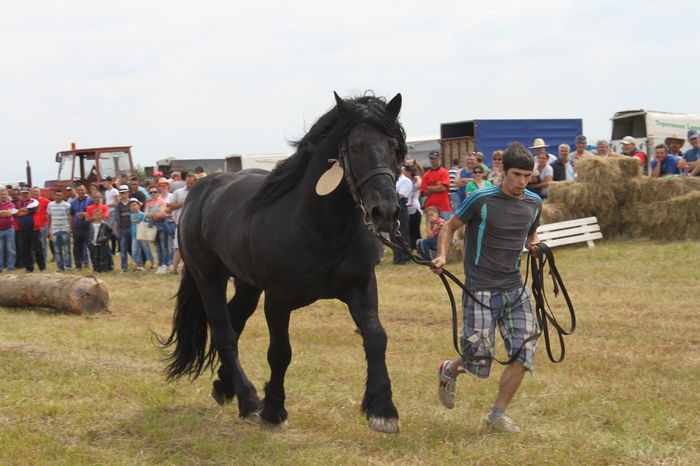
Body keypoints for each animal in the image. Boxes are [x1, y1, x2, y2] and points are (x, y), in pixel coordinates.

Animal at [159, 92, 406, 433]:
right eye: (355, 146)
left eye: (395, 147)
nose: (386, 212)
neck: (322, 226)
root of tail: (199, 191)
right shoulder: (278, 299)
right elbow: (280, 353)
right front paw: (273, 410)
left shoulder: (362, 287)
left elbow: (376, 337)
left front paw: (382, 409)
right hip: (208, 277)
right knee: (223, 331)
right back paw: (249, 400)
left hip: (247, 284)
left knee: (235, 321)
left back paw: (225, 387)